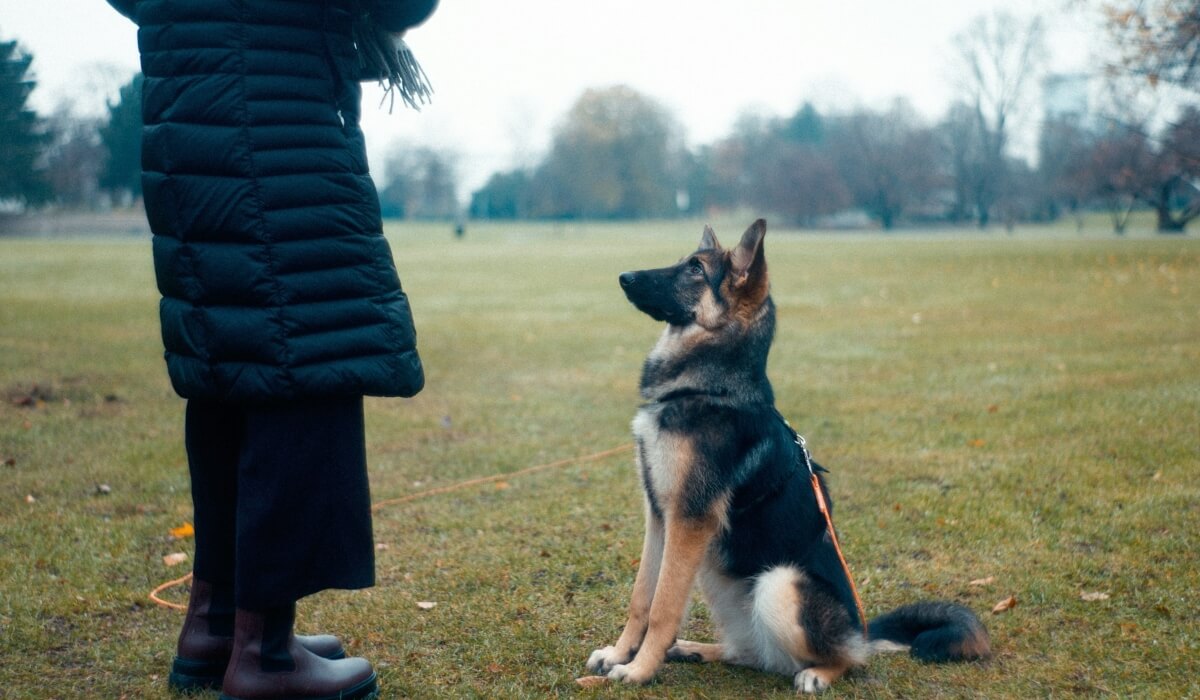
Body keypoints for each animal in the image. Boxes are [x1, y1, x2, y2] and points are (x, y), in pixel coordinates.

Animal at [585, 220, 988, 696]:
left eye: (695, 269)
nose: (624, 277)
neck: (708, 387)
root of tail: (861, 632)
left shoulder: (689, 520)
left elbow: (663, 607)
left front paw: (640, 670)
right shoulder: (660, 517)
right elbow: (641, 598)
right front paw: (619, 654)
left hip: (779, 583)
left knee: (845, 660)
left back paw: (818, 672)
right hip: (717, 574)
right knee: (752, 653)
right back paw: (697, 649)